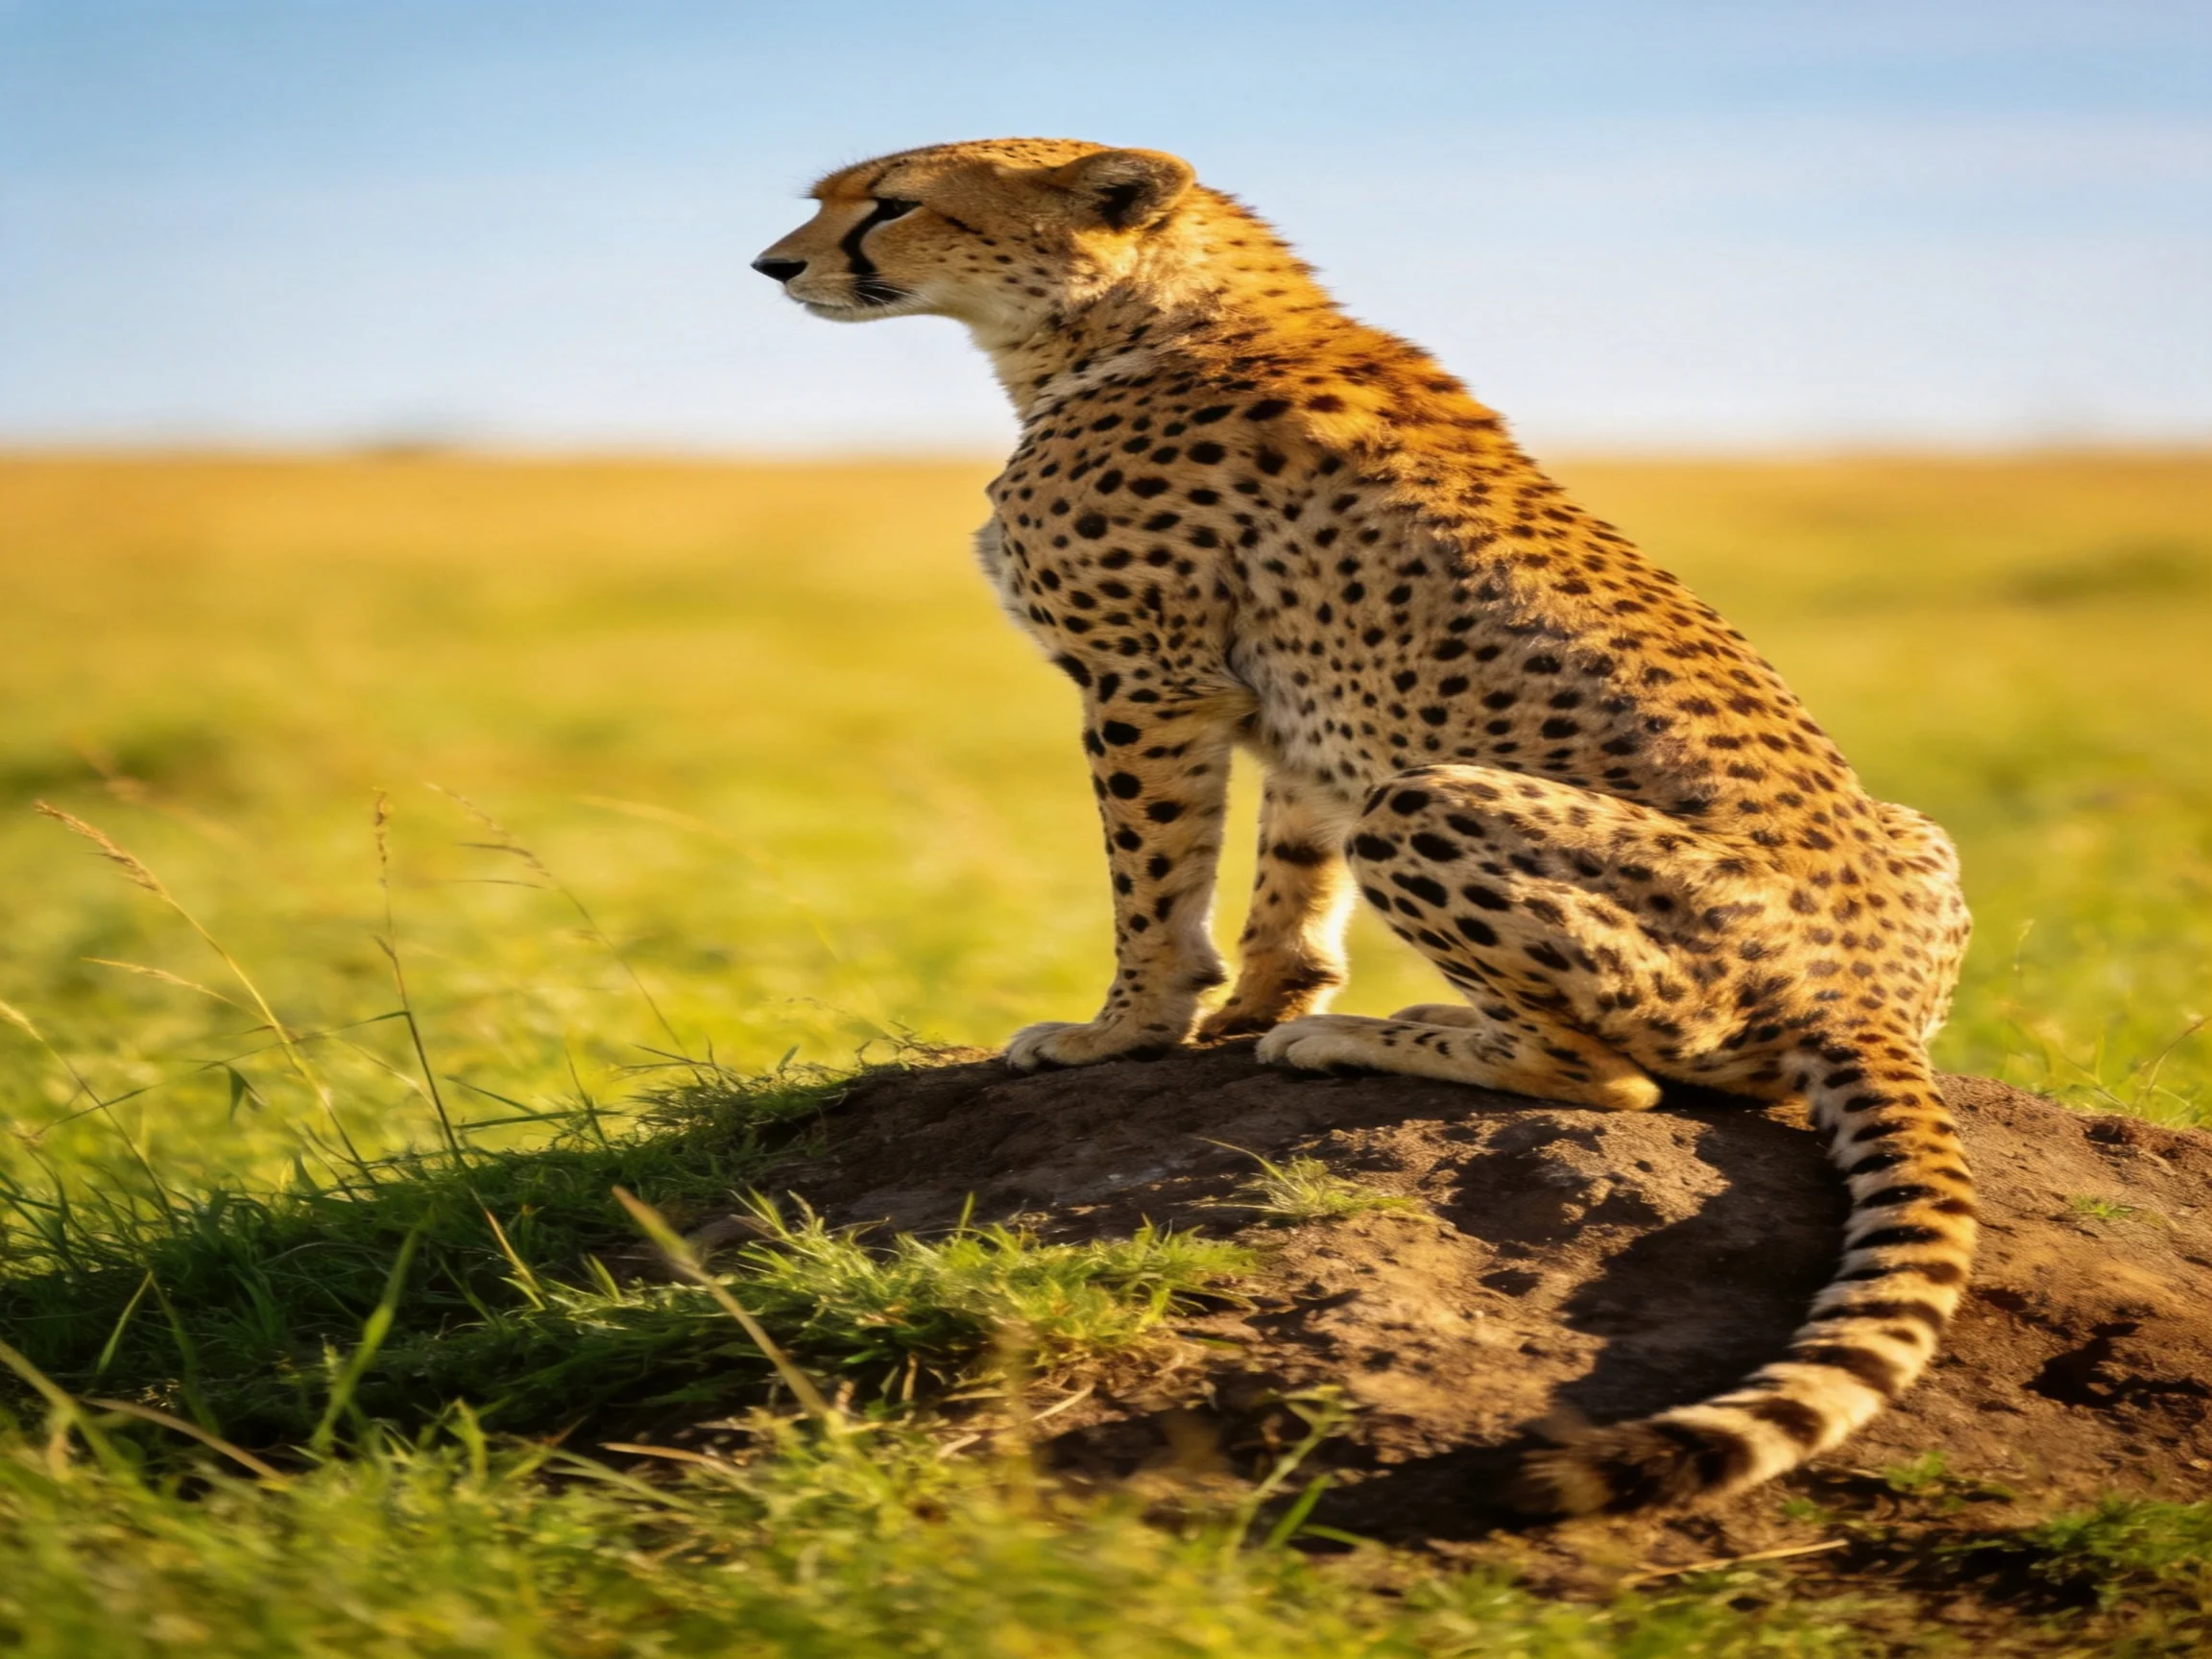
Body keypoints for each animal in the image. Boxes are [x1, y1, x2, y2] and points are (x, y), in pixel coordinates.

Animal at [754, 139, 1976, 1515]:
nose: (775, 265)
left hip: (1427, 799)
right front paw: (1250, 1009)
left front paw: (1122, 1032)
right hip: (1917, 834)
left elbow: (1153, 883)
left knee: (1620, 1078)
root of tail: (1867, 997)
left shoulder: (1151, 681)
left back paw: (1371, 1041)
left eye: (893, 202)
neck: (1129, 319)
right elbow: (1288, 877)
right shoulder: (1296, 710)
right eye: (830, 197)